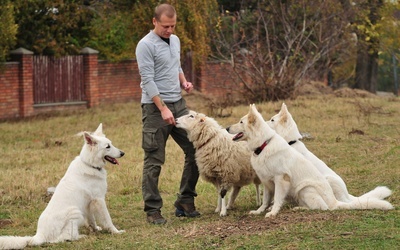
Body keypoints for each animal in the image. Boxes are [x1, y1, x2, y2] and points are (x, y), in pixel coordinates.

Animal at [228, 104, 394, 218]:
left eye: (241, 122)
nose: (227, 128)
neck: (264, 145)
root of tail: (337, 201)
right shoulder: (267, 183)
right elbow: (265, 200)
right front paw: (259, 211)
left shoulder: (281, 179)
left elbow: (277, 199)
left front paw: (273, 212)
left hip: (306, 189)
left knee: (322, 208)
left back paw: (300, 209)